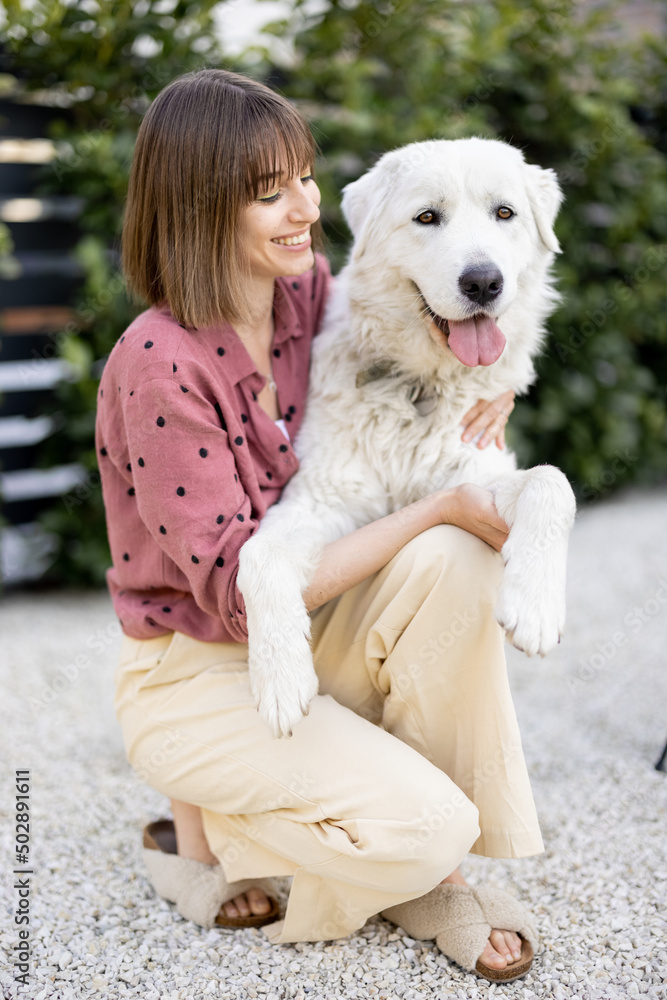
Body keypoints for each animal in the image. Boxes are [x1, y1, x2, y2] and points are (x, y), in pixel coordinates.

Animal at [237, 137, 576, 740]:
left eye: (504, 213)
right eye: (427, 217)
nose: (483, 282)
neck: (422, 387)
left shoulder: (476, 475)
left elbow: (551, 483)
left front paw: (535, 607)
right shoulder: (320, 499)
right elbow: (257, 554)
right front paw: (279, 679)